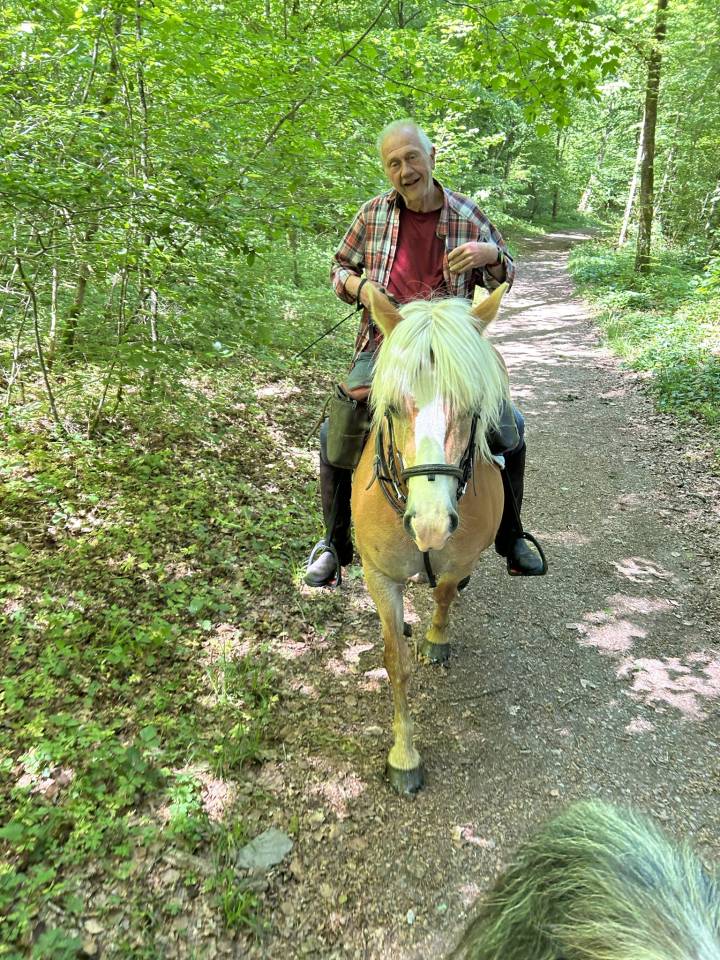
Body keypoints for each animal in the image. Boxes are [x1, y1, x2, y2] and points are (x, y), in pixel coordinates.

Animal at [351, 283, 511, 794]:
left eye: (472, 408)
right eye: (392, 408)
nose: (431, 525)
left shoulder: (461, 560)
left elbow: (443, 593)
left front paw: (436, 638)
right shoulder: (380, 576)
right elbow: (395, 663)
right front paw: (404, 755)